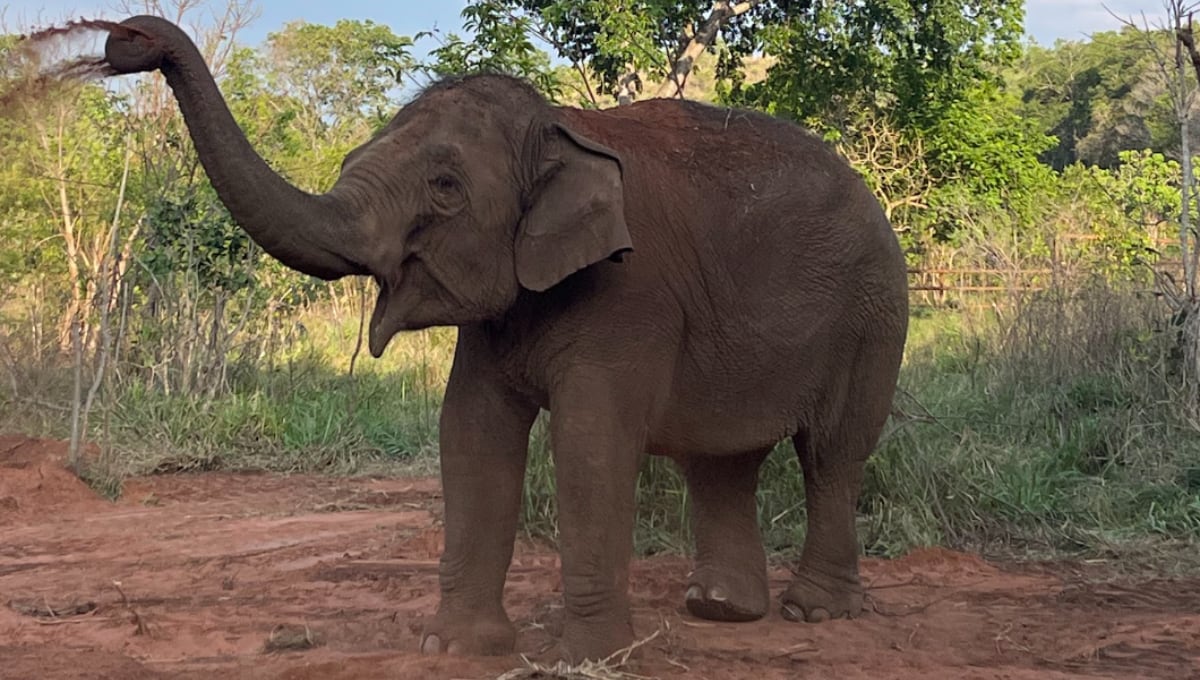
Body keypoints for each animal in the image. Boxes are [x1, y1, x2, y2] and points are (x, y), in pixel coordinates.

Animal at [100, 14, 907, 666]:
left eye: (445, 187)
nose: (124, 41)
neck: (561, 125)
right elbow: (471, 434)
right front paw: (456, 649)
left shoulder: (630, 295)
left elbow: (589, 445)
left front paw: (586, 659)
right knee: (722, 462)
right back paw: (720, 609)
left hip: (874, 315)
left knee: (832, 455)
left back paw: (813, 611)